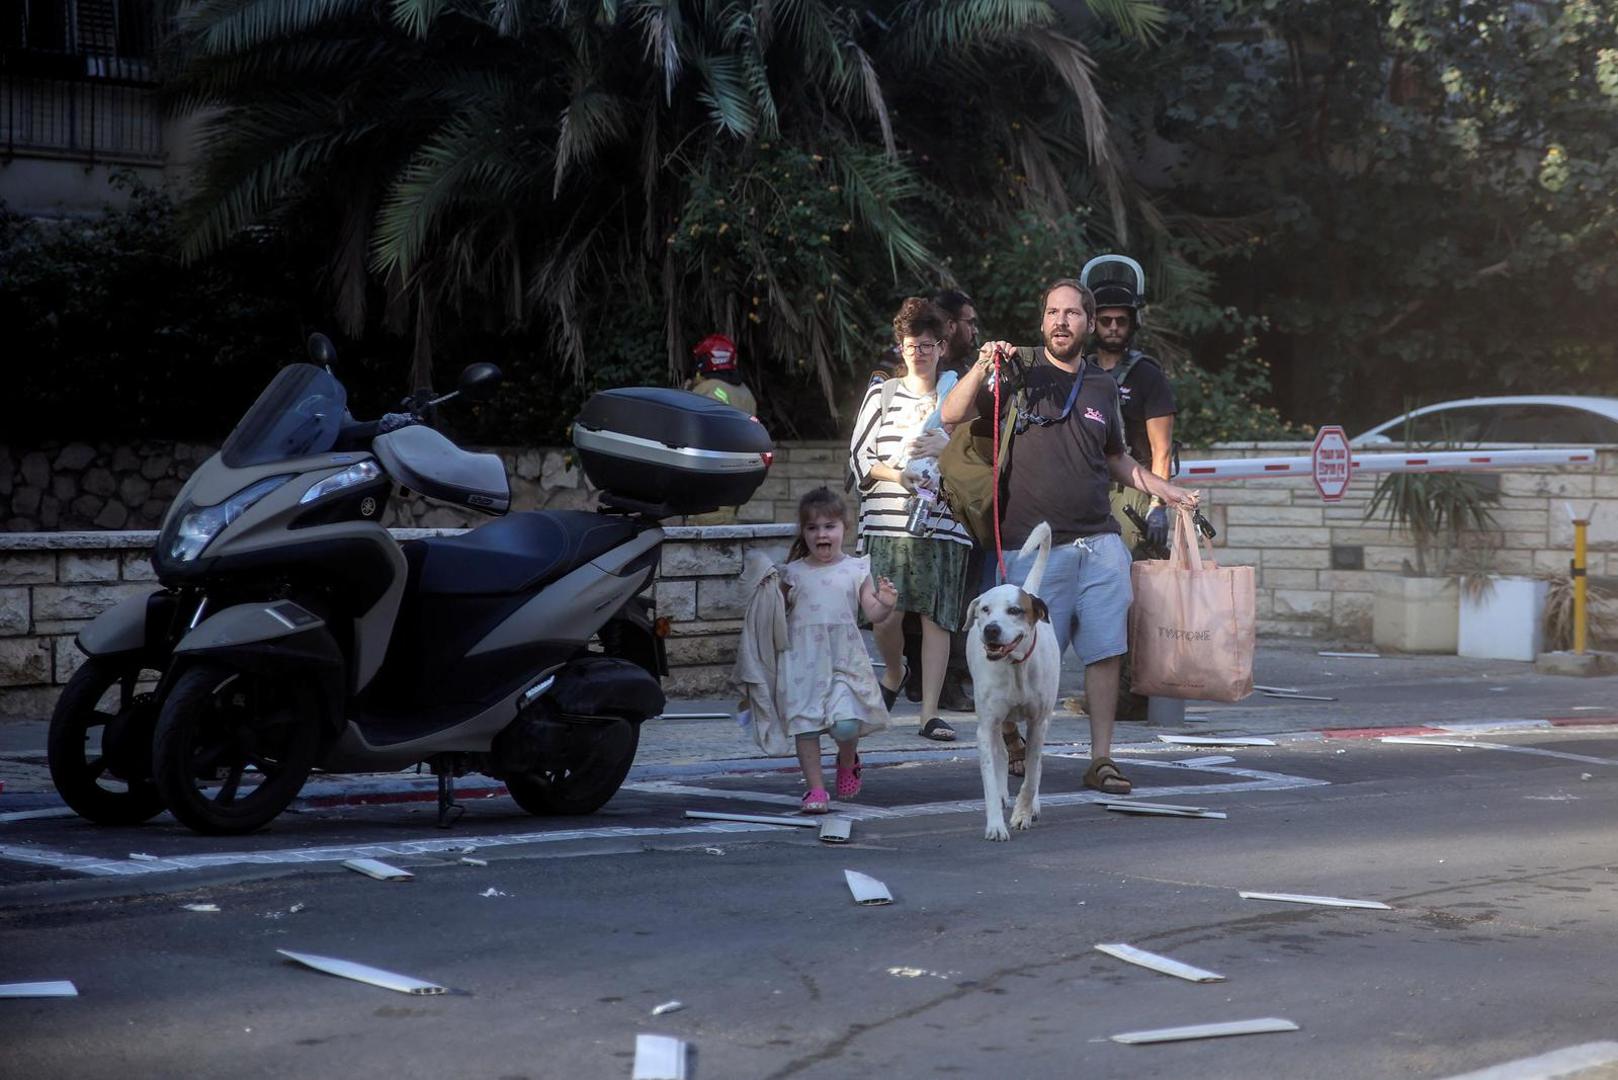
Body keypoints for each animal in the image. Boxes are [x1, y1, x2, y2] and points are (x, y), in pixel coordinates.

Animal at [964, 524, 1067, 841]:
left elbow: (1032, 774)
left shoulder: (1038, 722)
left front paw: (1023, 812)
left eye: (1014, 611)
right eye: (985, 609)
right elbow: (989, 774)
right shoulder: (986, 725)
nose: (991, 630)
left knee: (1036, 765)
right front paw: (996, 824)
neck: (1016, 668)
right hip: (998, 719)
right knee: (1000, 752)